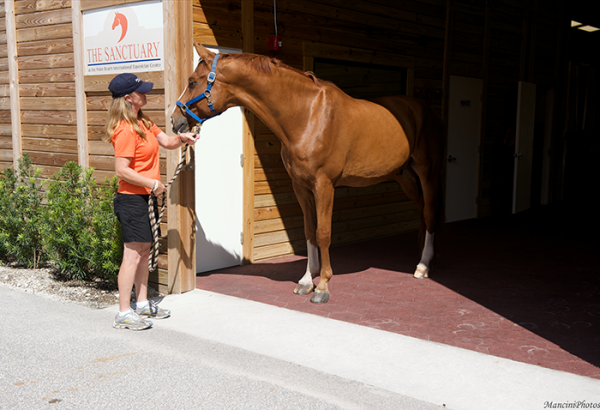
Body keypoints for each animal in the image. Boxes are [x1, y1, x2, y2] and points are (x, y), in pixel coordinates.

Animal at [170, 43, 446, 302]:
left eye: (192, 81)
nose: (175, 121)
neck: (308, 116)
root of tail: (425, 109)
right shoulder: (300, 186)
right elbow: (308, 230)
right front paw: (305, 280)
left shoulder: (324, 185)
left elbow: (323, 233)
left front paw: (322, 286)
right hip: (405, 176)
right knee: (422, 210)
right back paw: (419, 256)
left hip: (427, 173)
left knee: (430, 212)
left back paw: (423, 266)